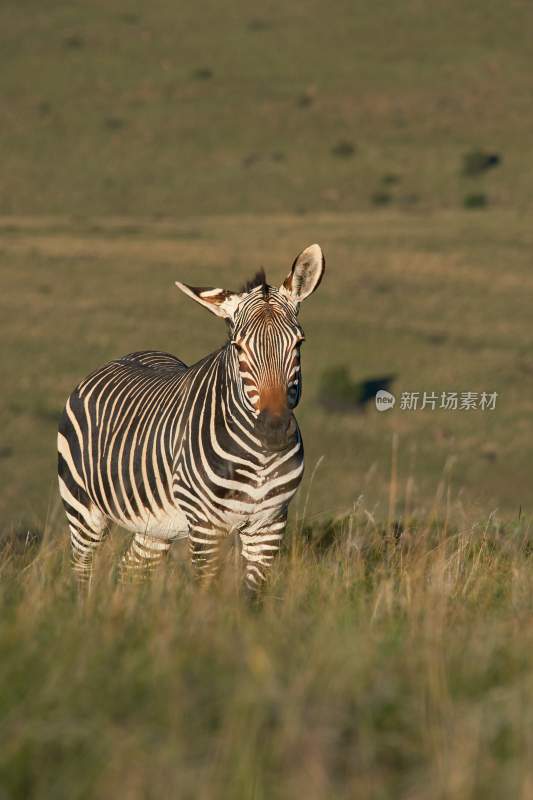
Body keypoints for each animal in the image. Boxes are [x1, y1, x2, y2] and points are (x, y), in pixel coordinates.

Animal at [58, 241, 324, 592]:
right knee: (81, 571)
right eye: (238, 347)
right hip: (83, 511)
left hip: (153, 526)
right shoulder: (206, 528)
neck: (259, 457)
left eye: (298, 343)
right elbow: (207, 593)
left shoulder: (268, 526)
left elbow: (252, 595)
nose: (275, 430)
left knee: (132, 570)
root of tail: (120, 358)